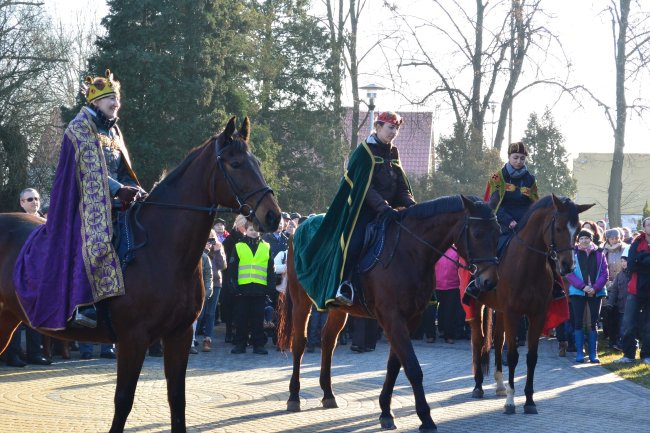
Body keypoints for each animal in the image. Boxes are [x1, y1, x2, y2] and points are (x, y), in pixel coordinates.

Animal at [0, 116, 278, 432]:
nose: (273, 216)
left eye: (256, 162)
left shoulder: (179, 334)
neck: (162, 248)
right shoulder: (133, 339)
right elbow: (123, 400)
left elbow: (177, 399)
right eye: (235, 164)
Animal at [276, 196, 498, 432]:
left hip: (337, 308)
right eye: (477, 233)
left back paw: (328, 393)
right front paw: (425, 417)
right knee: (299, 343)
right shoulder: (392, 318)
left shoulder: (410, 319)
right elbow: (412, 367)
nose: (489, 282)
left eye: (498, 231)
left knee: (328, 341)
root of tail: (298, 230)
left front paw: (385, 411)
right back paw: (294, 396)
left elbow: (394, 365)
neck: (410, 251)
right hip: (301, 301)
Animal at [468, 194, 588, 414]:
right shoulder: (513, 313)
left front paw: (529, 400)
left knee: (497, 340)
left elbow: (531, 357)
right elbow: (513, 355)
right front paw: (510, 401)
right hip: (476, 305)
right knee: (479, 340)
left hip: (499, 310)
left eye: (577, 230)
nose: (568, 265)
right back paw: (478, 386)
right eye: (559, 228)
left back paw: (499, 385)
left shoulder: (537, 314)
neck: (527, 265)